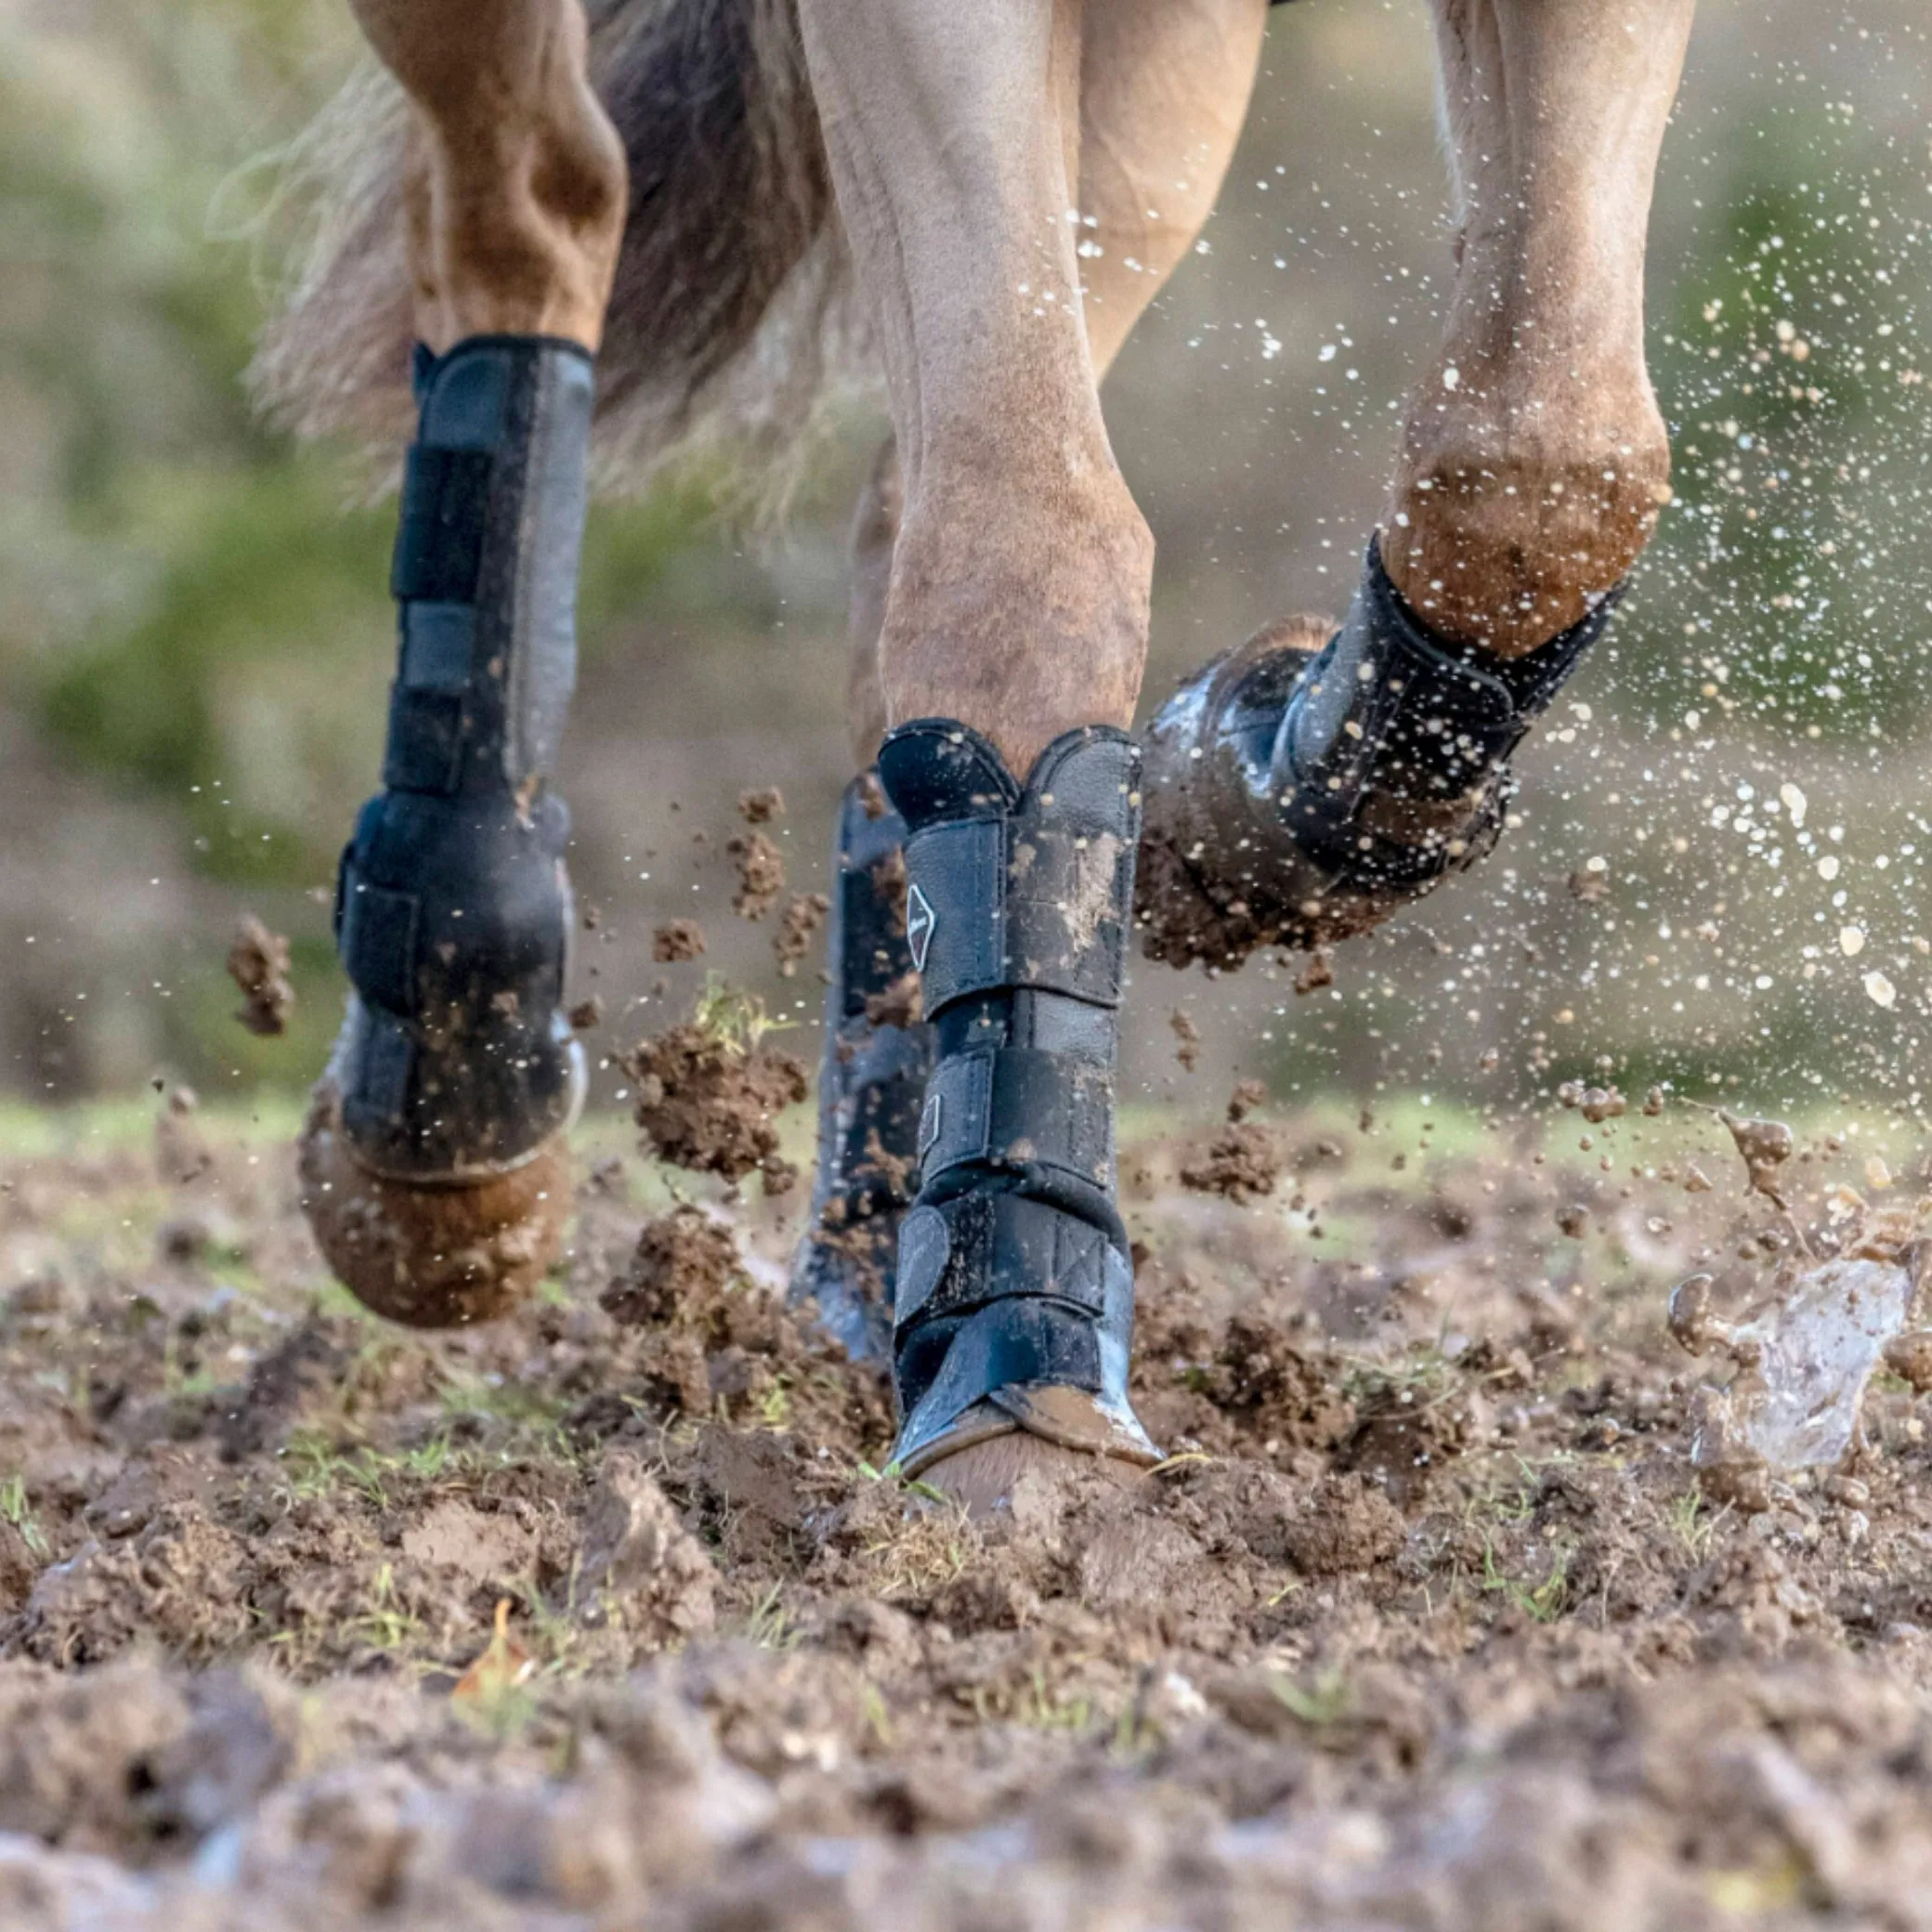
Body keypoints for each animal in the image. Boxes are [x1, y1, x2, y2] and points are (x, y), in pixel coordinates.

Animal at [260, 0, 1692, 1507]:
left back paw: (859, 1269)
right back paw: (447, 1093)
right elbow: (1031, 544)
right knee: (532, 212)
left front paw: (1221, 805)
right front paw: (1023, 1394)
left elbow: (1544, 466)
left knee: (892, 506)